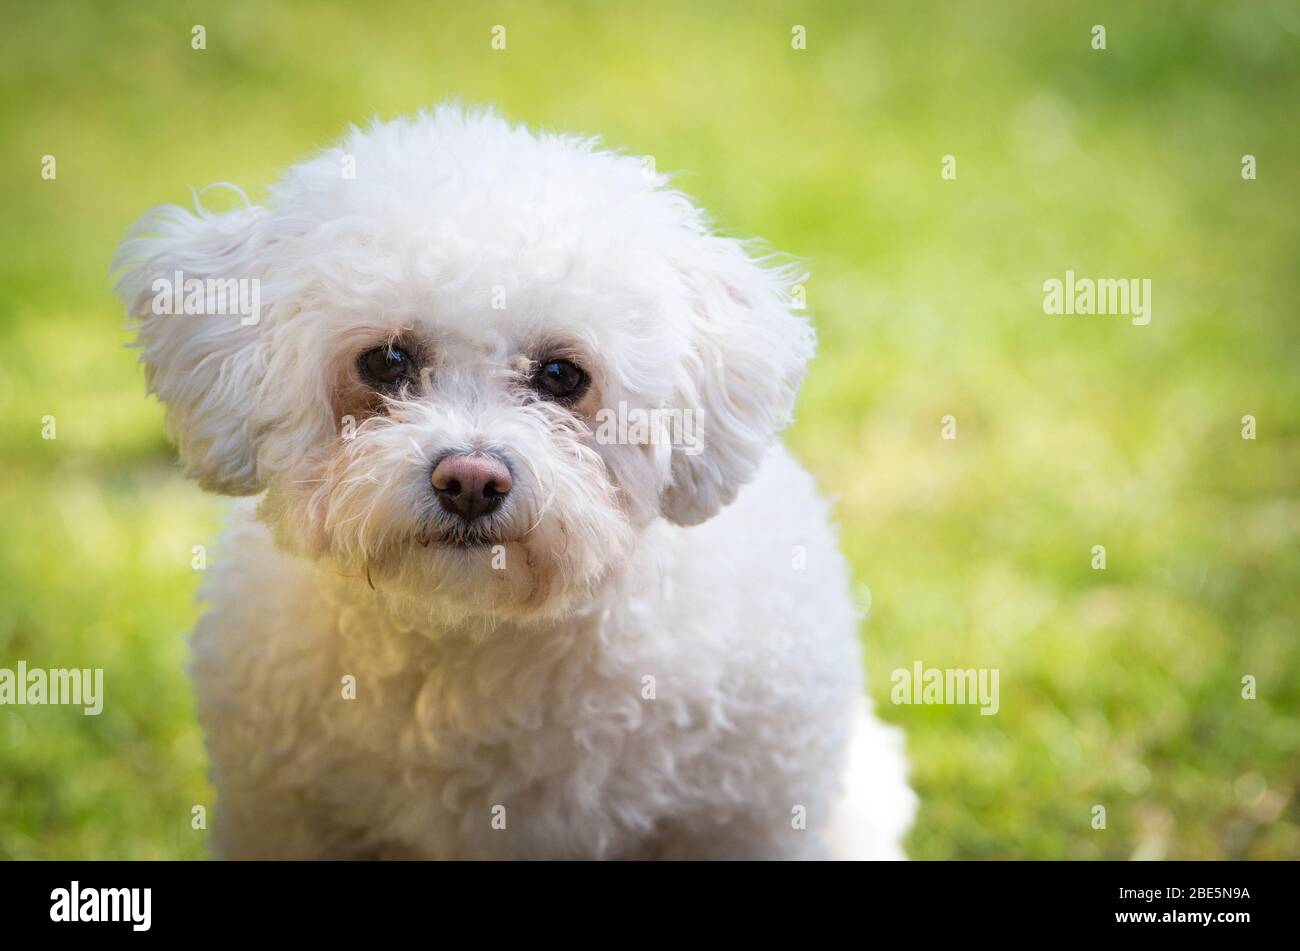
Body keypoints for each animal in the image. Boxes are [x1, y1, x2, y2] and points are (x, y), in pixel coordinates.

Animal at [116, 103, 920, 862]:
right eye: (386, 361)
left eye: (562, 375)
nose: (471, 480)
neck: (475, 637)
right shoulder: (287, 816)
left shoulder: (740, 819)